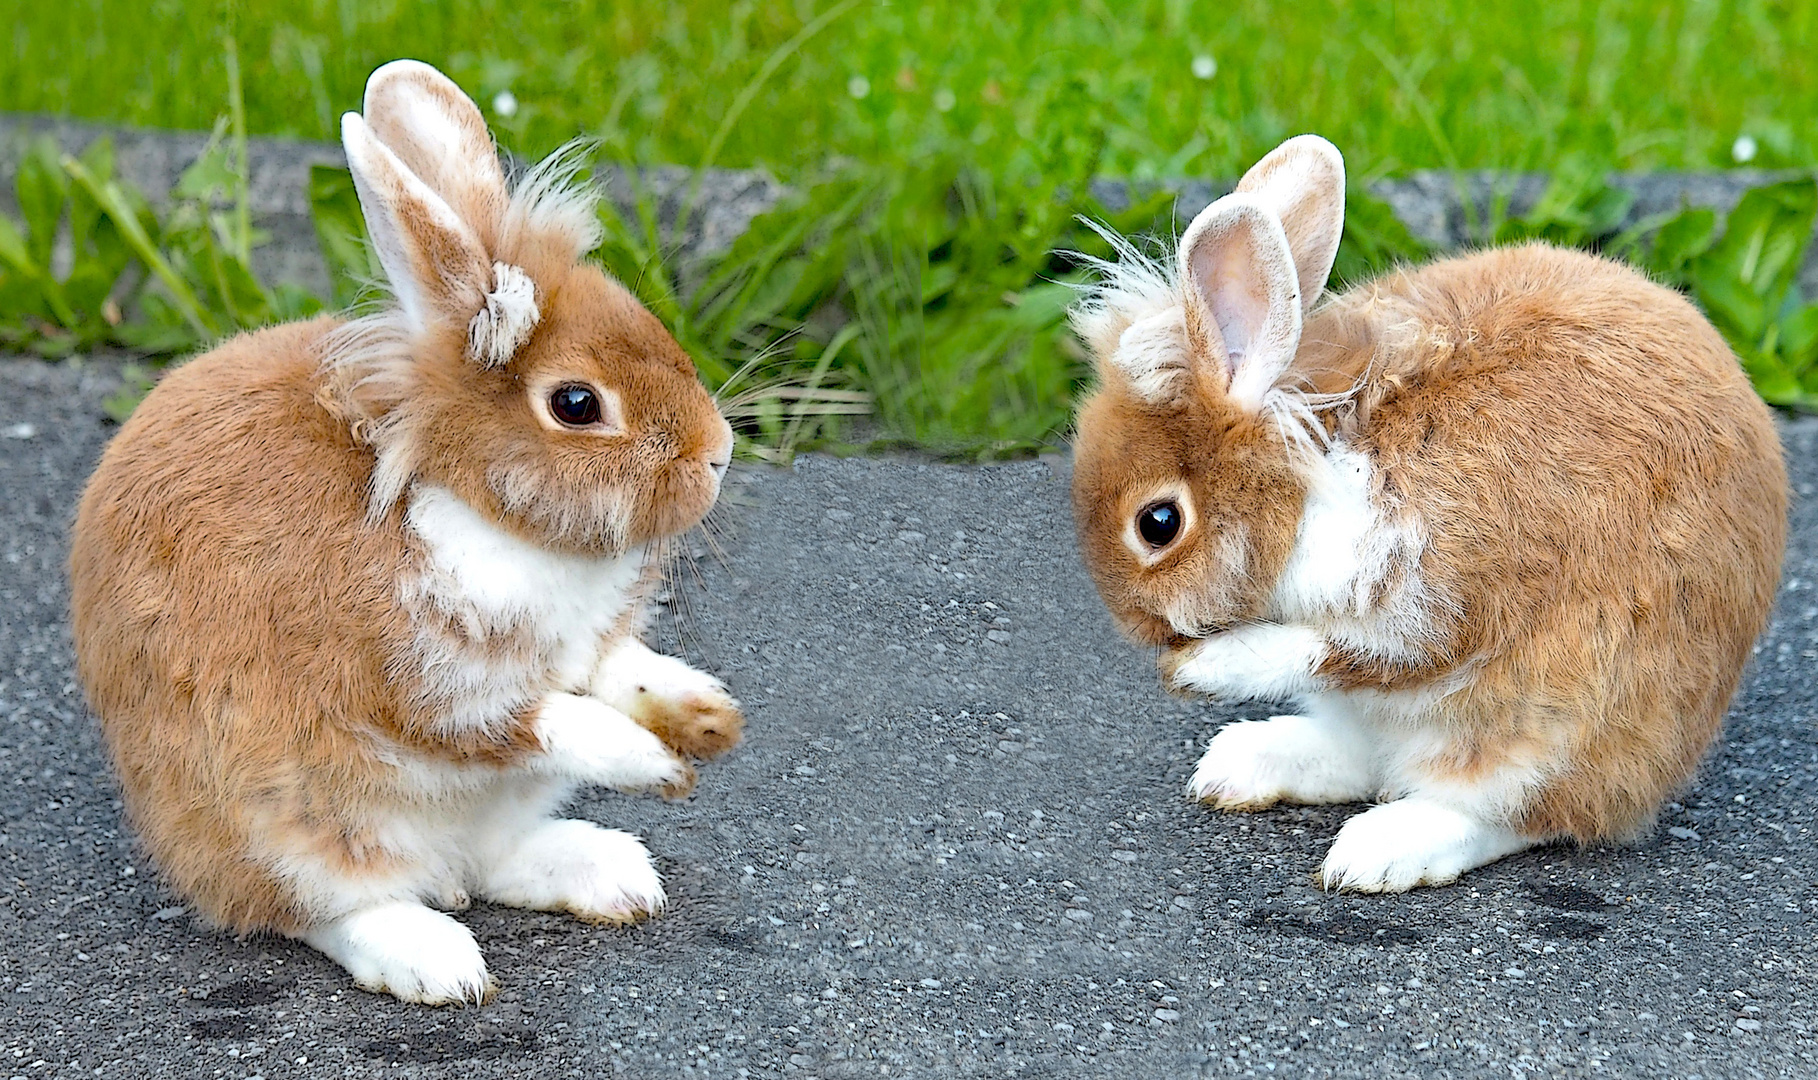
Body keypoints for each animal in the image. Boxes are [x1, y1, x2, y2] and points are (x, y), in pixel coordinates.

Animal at [69, 60, 738, 1003]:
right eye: (577, 404)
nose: (718, 453)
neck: (469, 504)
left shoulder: (588, 652)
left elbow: (622, 672)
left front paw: (710, 720)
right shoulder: (430, 687)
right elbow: (551, 721)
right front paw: (658, 764)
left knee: (490, 863)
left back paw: (612, 876)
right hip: (283, 825)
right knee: (325, 909)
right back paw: (439, 963)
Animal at [1068, 134, 1781, 890]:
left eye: (1158, 524)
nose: (1136, 626)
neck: (1316, 474)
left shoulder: (1432, 598)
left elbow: (1330, 647)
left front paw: (1200, 670)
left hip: (1555, 729)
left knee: (1513, 812)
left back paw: (1374, 854)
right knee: (1361, 758)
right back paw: (1238, 768)